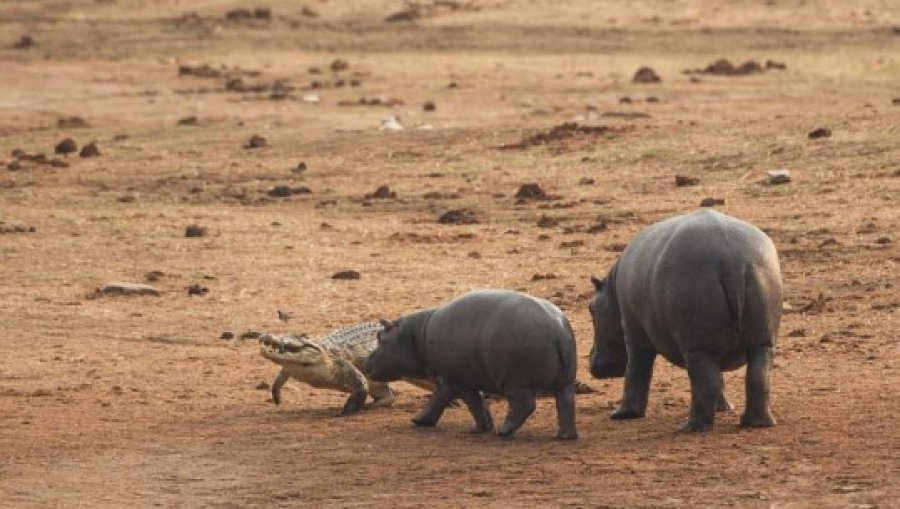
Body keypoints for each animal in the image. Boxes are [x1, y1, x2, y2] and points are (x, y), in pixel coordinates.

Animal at [364, 290, 576, 436]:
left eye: (380, 337)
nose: (366, 359)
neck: (416, 335)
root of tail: (557, 332)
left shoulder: (461, 381)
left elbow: (472, 403)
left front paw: (479, 428)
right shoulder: (451, 378)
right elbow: (440, 399)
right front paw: (419, 420)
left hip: (517, 383)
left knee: (524, 406)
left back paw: (503, 432)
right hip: (565, 381)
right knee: (565, 403)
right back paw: (564, 436)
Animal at [592, 208, 780, 430]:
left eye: (590, 308)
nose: (593, 364)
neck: (611, 289)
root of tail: (732, 262)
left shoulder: (634, 334)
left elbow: (636, 372)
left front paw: (620, 414)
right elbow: (720, 377)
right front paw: (723, 408)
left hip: (697, 345)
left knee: (705, 381)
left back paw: (690, 428)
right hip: (760, 338)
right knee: (757, 376)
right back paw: (756, 422)